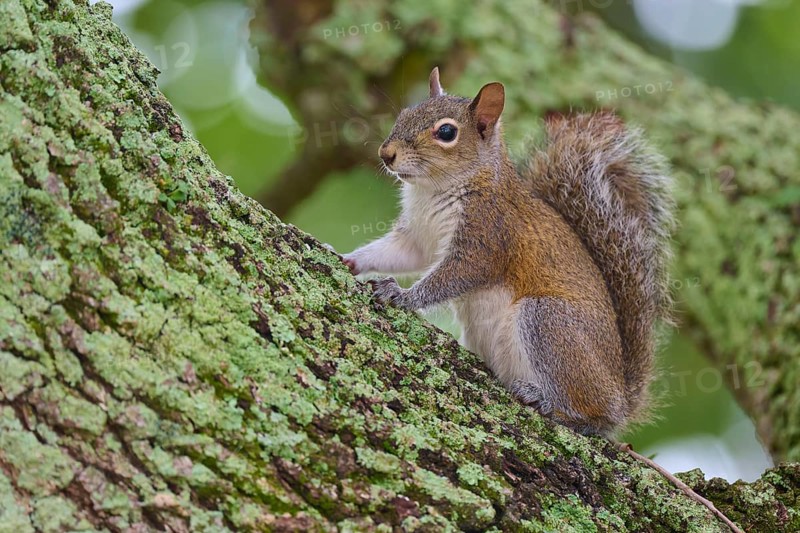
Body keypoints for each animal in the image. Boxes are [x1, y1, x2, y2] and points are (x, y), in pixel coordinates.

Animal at [343, 67, 675, 437]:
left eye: (446, 132)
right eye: (403, 115)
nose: (386, 154)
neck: (434, 190)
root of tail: (622, 396)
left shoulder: (487, 237)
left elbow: (455, 275)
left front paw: (403, 296)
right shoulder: (417, 237)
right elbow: (399, 254)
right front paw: (349, 259)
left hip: (549, 323)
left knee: (595, 416)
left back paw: (551, 404)